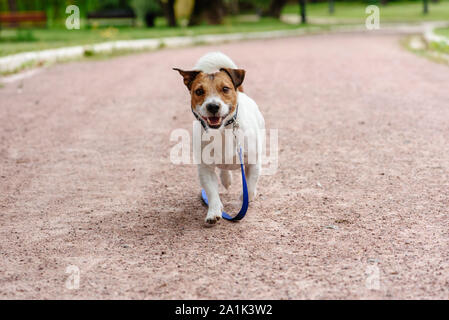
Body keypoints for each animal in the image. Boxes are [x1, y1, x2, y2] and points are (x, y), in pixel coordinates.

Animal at [172, 51, 264, 224]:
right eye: (199, 91)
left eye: (225, 88)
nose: (213, 106)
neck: (222, 131)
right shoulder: (205, 169)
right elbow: (211, 191)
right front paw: (214, 211)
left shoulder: (253, 163)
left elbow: (250, 185)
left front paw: (246, 197)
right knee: (223, 169)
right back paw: (226, 179)